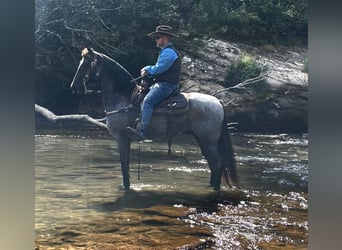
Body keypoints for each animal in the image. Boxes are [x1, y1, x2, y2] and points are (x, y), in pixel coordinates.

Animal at [70, 47, 240, 190]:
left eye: (87, 64)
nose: (73, 86)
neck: (123, 97)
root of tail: (218, 102)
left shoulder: (121, 137)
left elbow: (124, 165)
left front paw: (125, 187)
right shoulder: (126, 139)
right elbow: (125, 165)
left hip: (208, 140)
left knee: (217, 164)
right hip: (203, 140)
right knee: (213, 164)